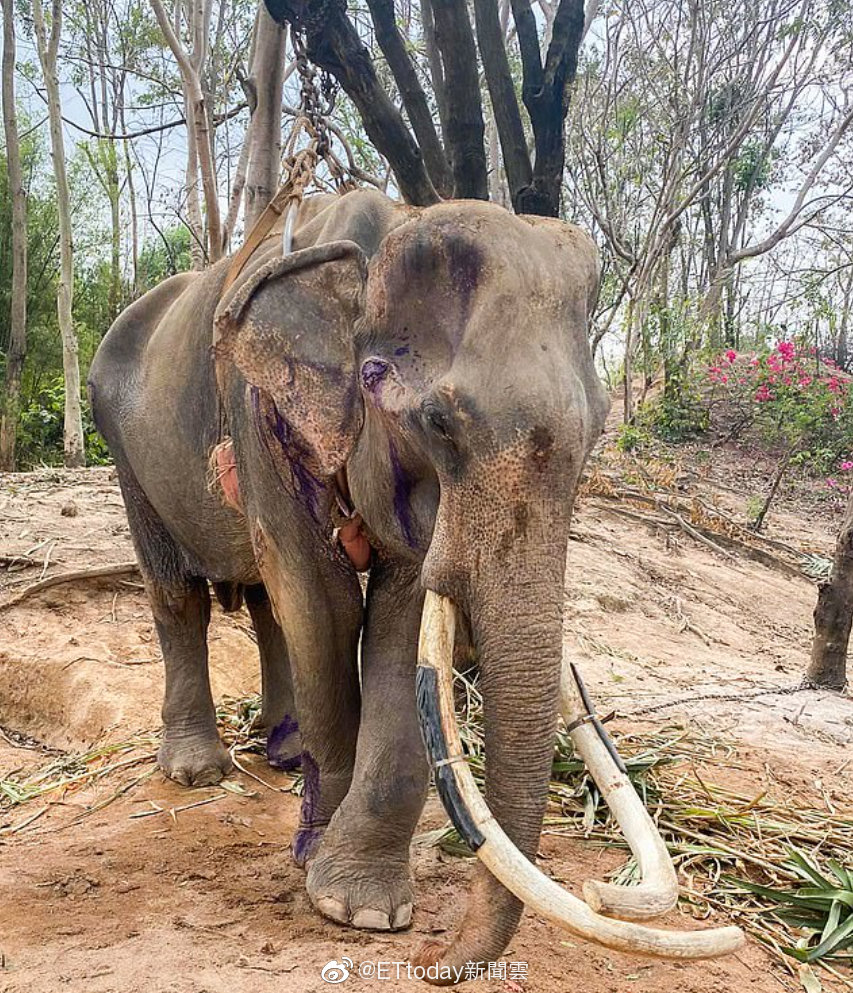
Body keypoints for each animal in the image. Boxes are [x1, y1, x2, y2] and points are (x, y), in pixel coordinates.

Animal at [88, 188, 610, 980]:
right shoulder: (258, 406)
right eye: (439, 423)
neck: (387, 232)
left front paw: (363, 907)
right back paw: (196, 771)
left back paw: (280, 751)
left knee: (264, 600)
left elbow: (400, 619)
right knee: (181, 595)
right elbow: (321, 600)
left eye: (601, 429)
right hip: (124, 447)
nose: (435, 954)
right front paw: (321, 869)